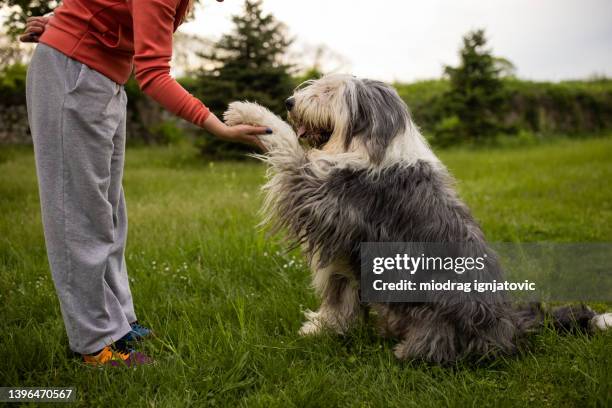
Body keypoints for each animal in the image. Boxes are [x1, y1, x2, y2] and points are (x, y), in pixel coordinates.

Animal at [225, 74, 612, 364]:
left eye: (331, 92)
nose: (290, 102)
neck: (370, 147)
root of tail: (509, 325)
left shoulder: (322, 194)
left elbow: (288, 144)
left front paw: (249, 111)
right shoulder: (346, 248)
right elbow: (340, 297)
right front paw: (322, 328)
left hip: (440, 311)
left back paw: (408, 351)